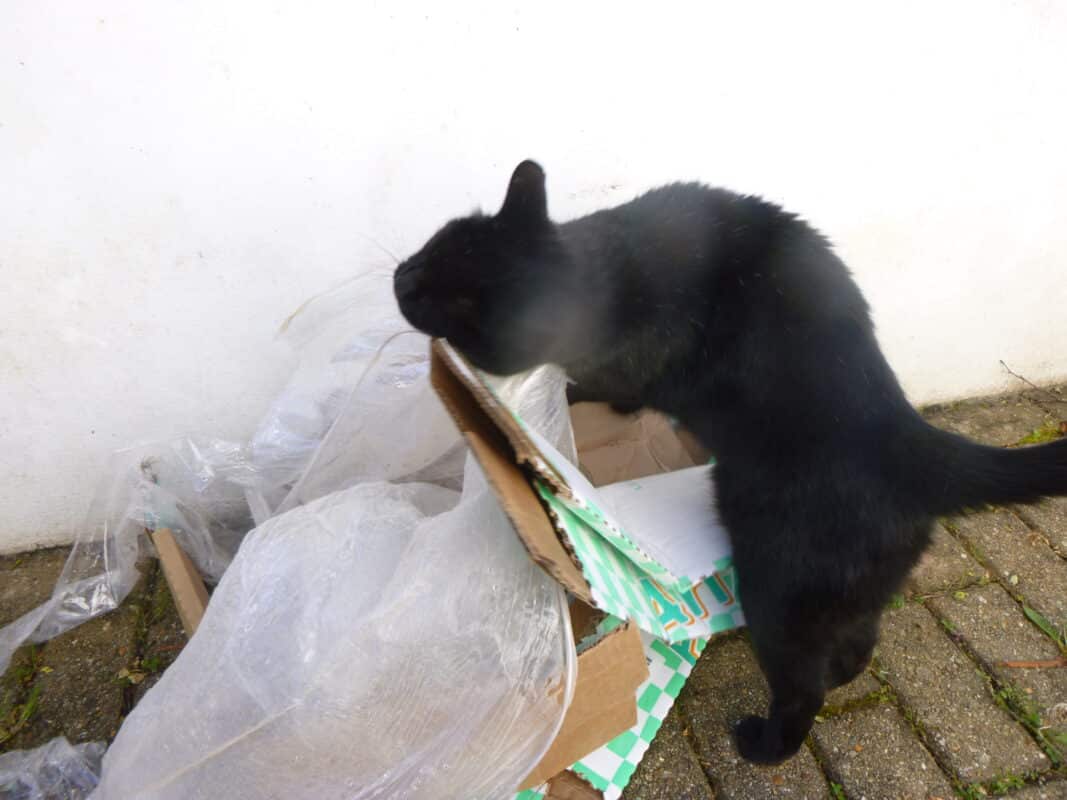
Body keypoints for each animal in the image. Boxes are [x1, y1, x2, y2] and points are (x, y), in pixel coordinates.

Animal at [392, 161, 1067, 763]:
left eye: (461, 309)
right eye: (434, 248)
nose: (399, 278)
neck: (601, 272)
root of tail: (909, 437)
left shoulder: (628, 368)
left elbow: (607, 384)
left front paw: (574, 393)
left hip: (779, 592)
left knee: (802, 689)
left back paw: (765, 745)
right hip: (847, 592)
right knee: (857, 642)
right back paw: (845, 675)